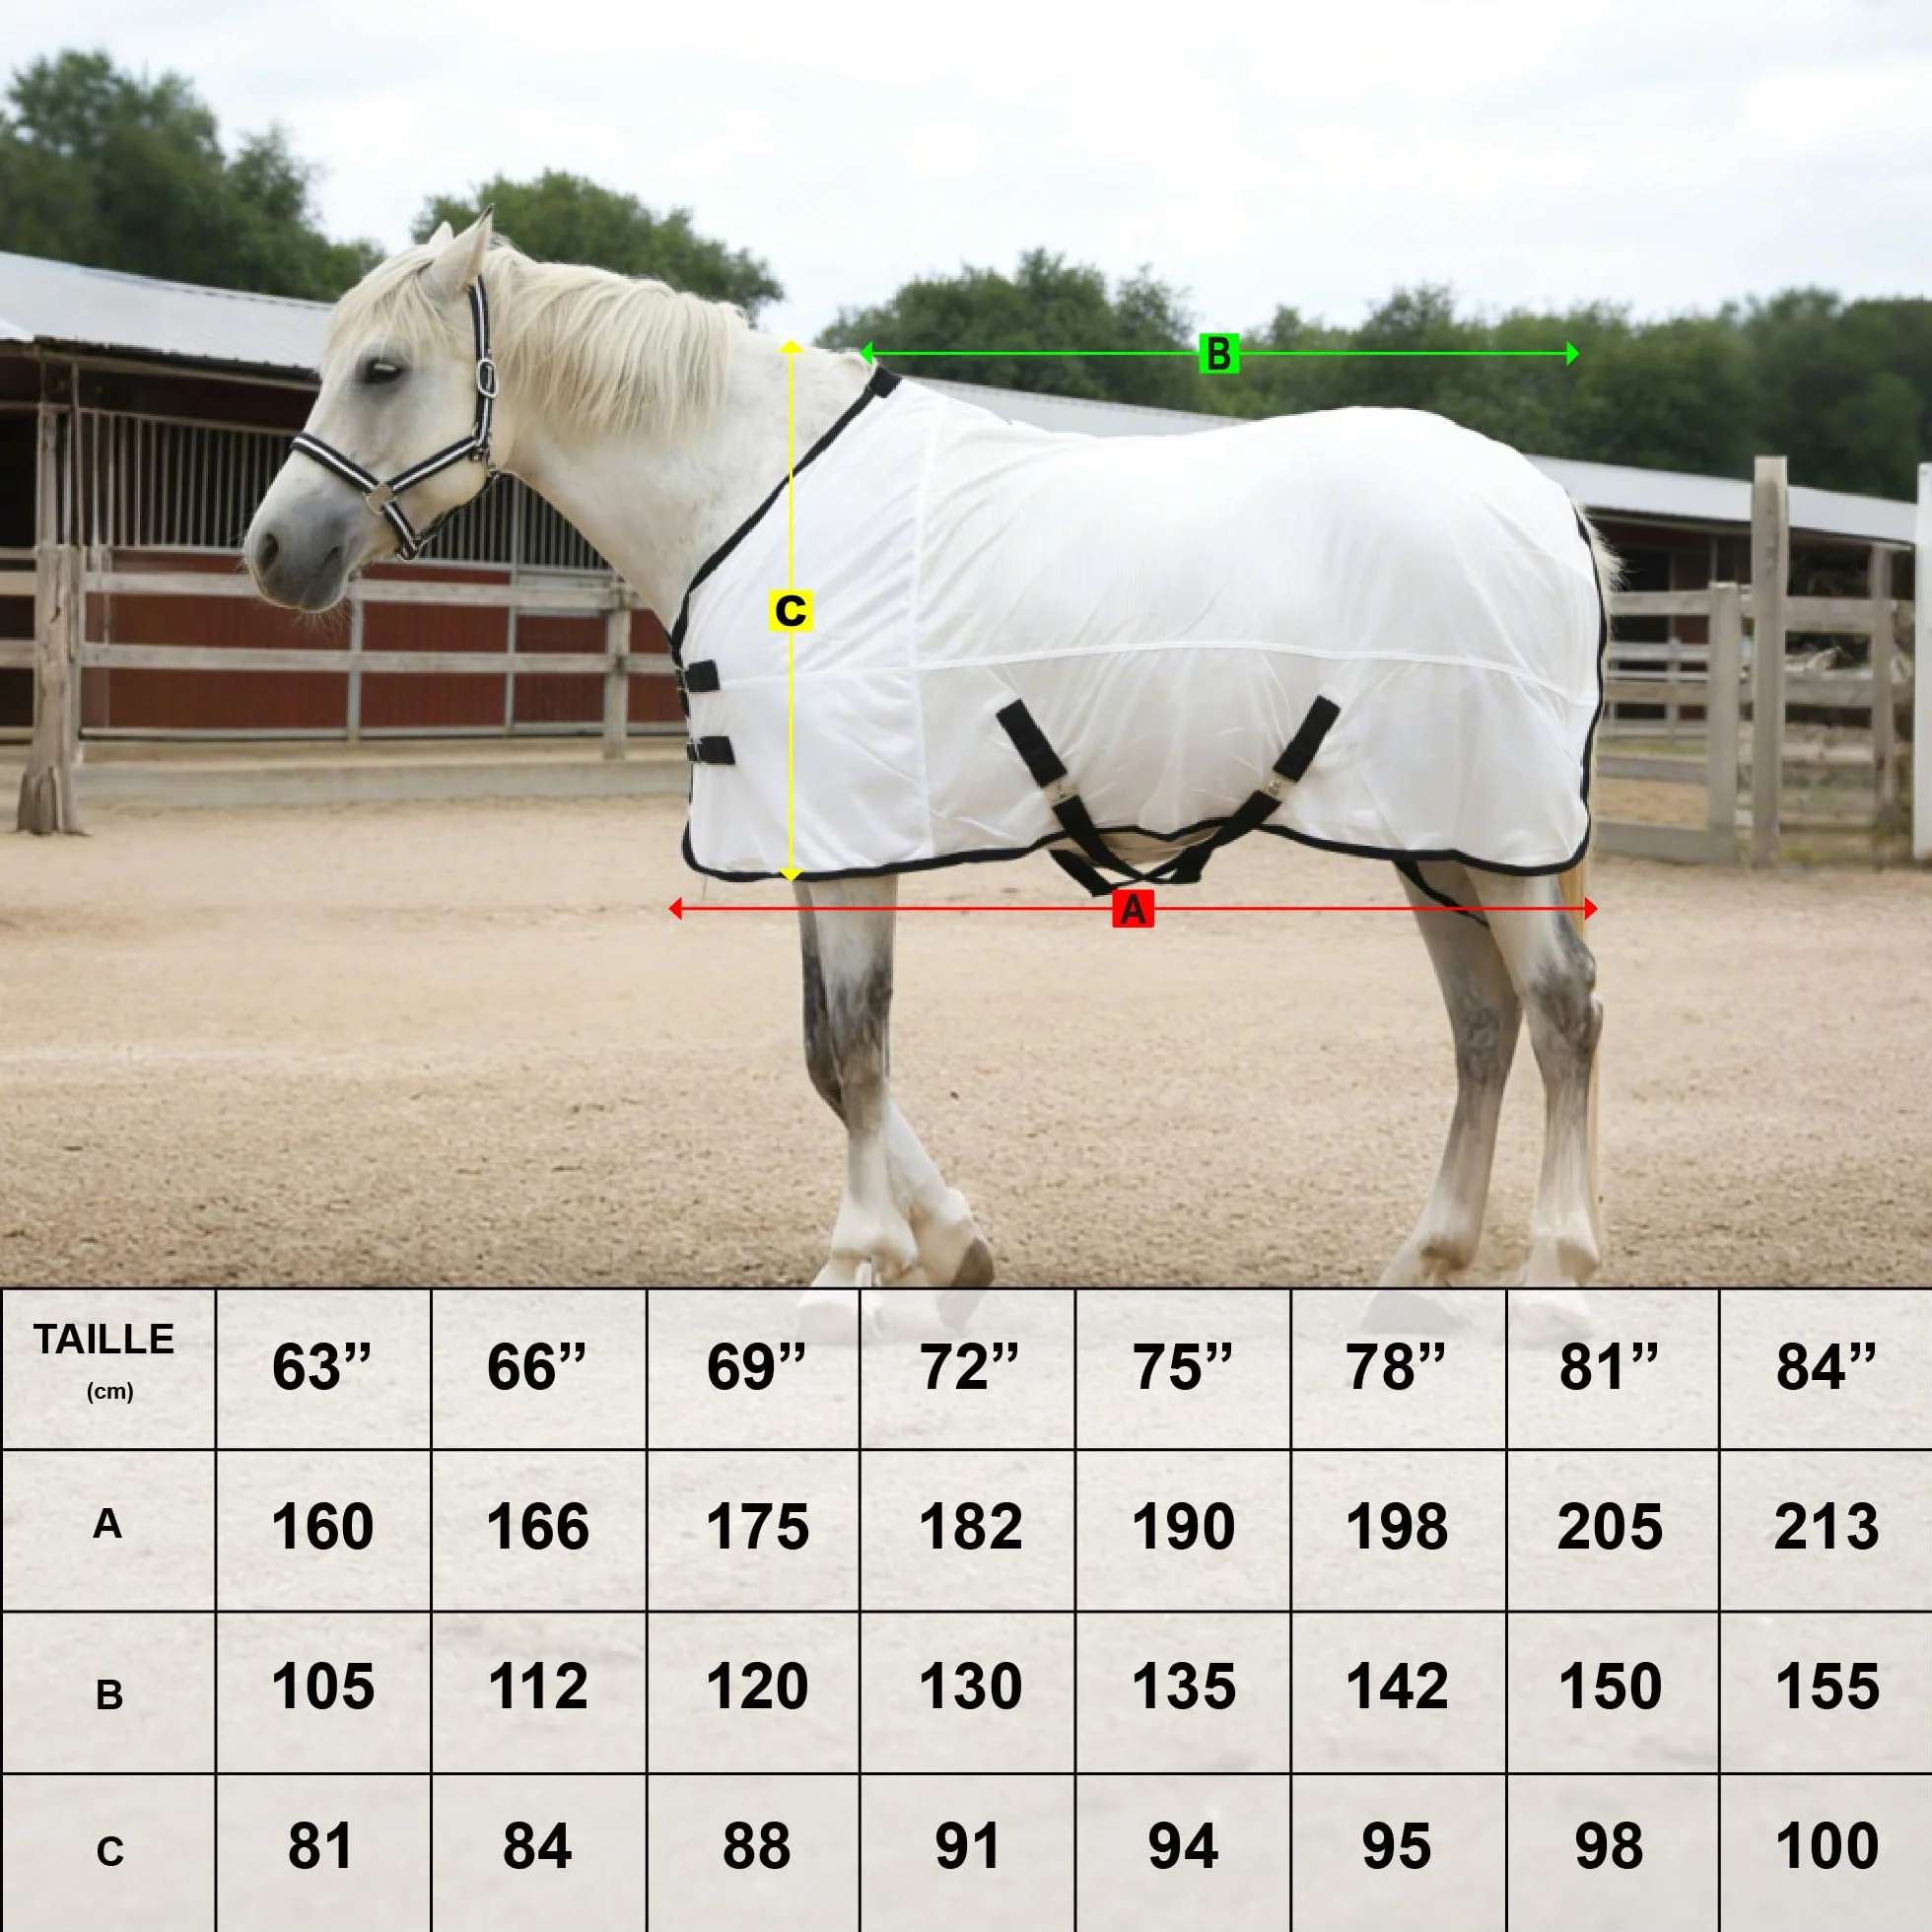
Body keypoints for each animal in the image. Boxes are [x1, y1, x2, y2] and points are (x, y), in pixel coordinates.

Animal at [246, 212, 1612, 1290]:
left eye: (381, 368)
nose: (272, 550)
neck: (762, 498)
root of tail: (1544, 506)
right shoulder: (822, 838)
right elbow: (825, 1053)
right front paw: (953, 1242)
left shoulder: (855, 839)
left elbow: (854, 1047)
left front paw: (859, 1260)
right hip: (1433, 838)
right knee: (1483, 1025)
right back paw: (1426, 1261)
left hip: (1500, 838)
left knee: (1561, 1010)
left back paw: (1556, 1266)